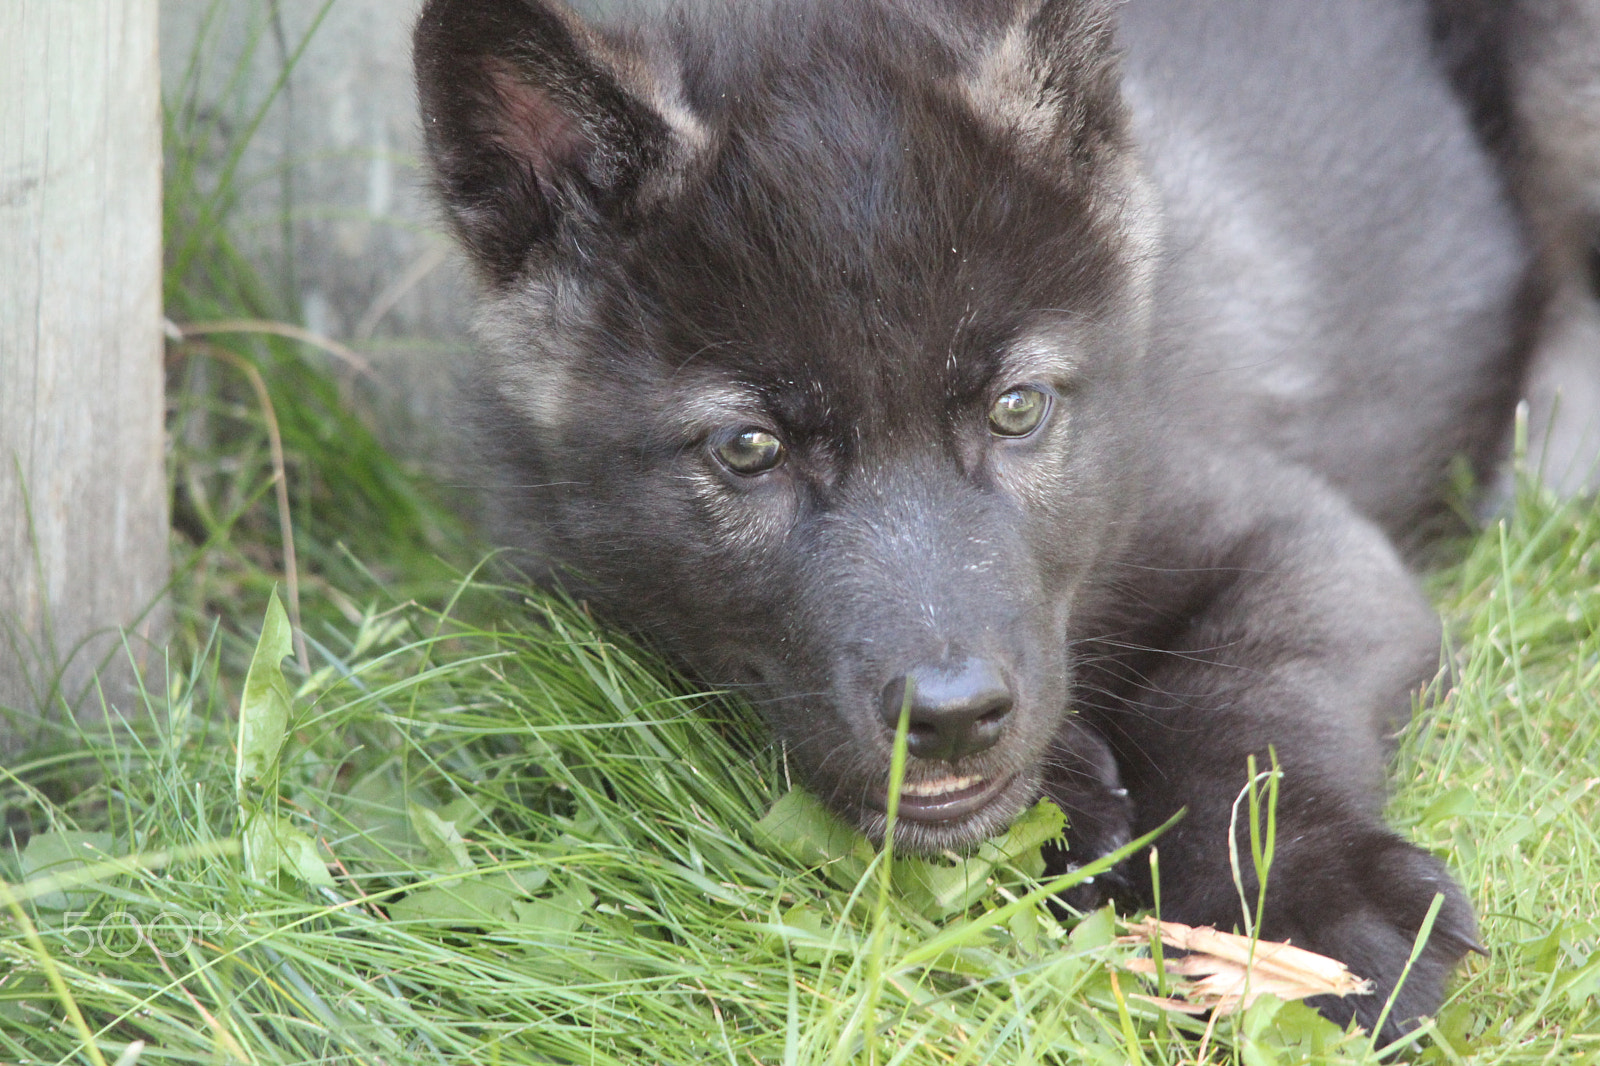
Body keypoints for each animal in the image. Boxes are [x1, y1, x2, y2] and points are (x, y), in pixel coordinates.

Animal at [414, 0, 1528, 1041]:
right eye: (749, 448)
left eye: (1017, 407)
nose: (949, 718)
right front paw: (1081, 795)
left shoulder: (1306, 542)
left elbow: (1246, 697)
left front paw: (1306, 920)